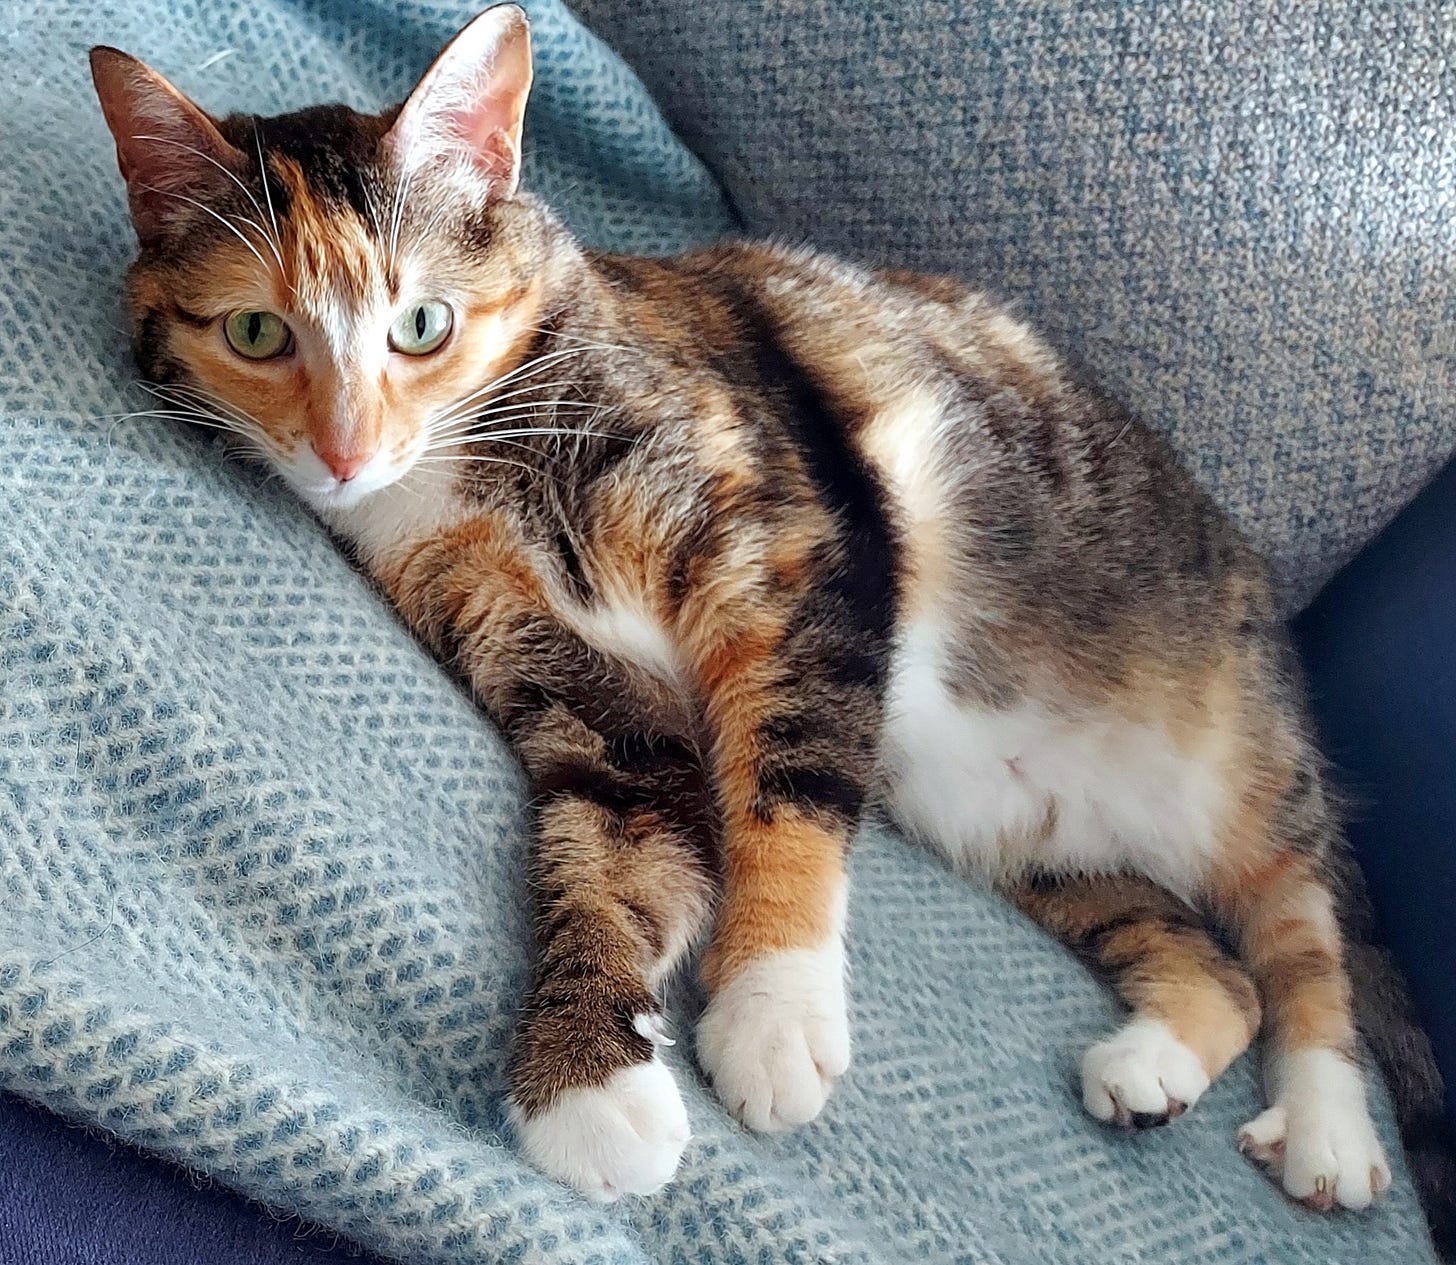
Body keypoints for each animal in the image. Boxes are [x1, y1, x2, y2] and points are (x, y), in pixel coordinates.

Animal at [88, 0, 1444, 1222]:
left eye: (419, 322)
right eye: (255, 329)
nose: (345, 452)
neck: (486, 456)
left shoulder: (793, 544)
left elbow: (786, 778)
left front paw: (770, 1013)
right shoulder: (540, 647)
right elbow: (619, 821)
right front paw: (592, 1087)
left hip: (1243, 757)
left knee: (1299, 933)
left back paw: (1328, 1131)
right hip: (1037, 839)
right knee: (1211, 959)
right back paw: (1150, 1066)